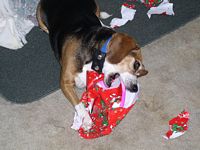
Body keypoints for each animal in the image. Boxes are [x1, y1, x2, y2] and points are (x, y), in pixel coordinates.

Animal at [36, 0, 148, 129]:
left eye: (139, 74)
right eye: (136, 64)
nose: (135, 88)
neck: (96, 55)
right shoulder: (65, 82)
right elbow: (78, 103)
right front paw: (86, 119)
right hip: (40, 19)